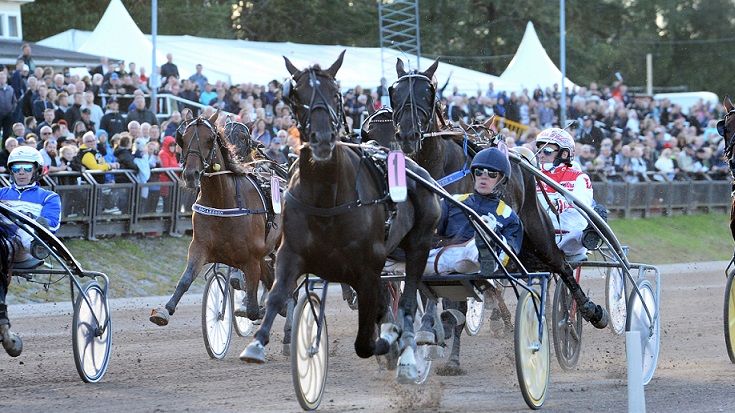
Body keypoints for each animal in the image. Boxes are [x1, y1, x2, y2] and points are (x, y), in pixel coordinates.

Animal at [151, 110, 284, 328]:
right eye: (182, 138)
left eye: (210, 139)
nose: (191, 174)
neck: (223, 201)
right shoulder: (200, 247)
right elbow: (185, 280)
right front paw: (164, 310)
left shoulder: (251, 260)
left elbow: (252, 309)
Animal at [240, 51, 442, 384]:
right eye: (296, 95)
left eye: (336, 93)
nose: (322, 139)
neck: (327, 195)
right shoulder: (291, 251)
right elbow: (278, 294)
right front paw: (258, 344)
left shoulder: (369, 262)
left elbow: (377, 321)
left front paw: (390, 343)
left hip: (420, 243)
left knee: (411, 296)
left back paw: (410, 352)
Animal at [388, 60, 608, 370]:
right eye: (394, 93)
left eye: (427, 93)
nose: (407, 135)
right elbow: (429, 286)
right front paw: (430, 330)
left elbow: (456, 298)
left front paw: (451, 351)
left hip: (537, 232)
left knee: (562, 266)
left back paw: (587, 311)